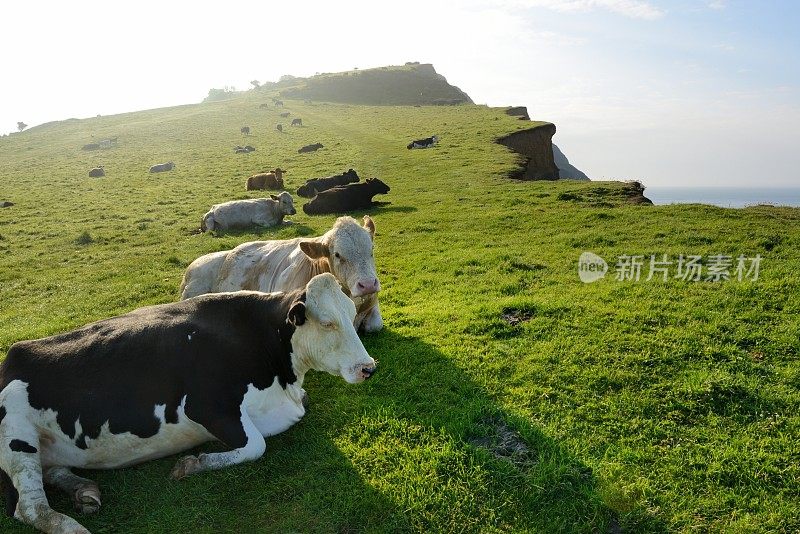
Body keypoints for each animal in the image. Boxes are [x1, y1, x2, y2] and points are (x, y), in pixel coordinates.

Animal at [0, 276, 376, 534]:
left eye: (352, 312)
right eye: (327, 322)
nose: (368, 367)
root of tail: (11, 357)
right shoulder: (208, 406)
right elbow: (256, 445)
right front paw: (193, 464)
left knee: (51, 471)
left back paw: (84, 491)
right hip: (16, 432)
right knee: (29, 506)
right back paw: (72, 526)